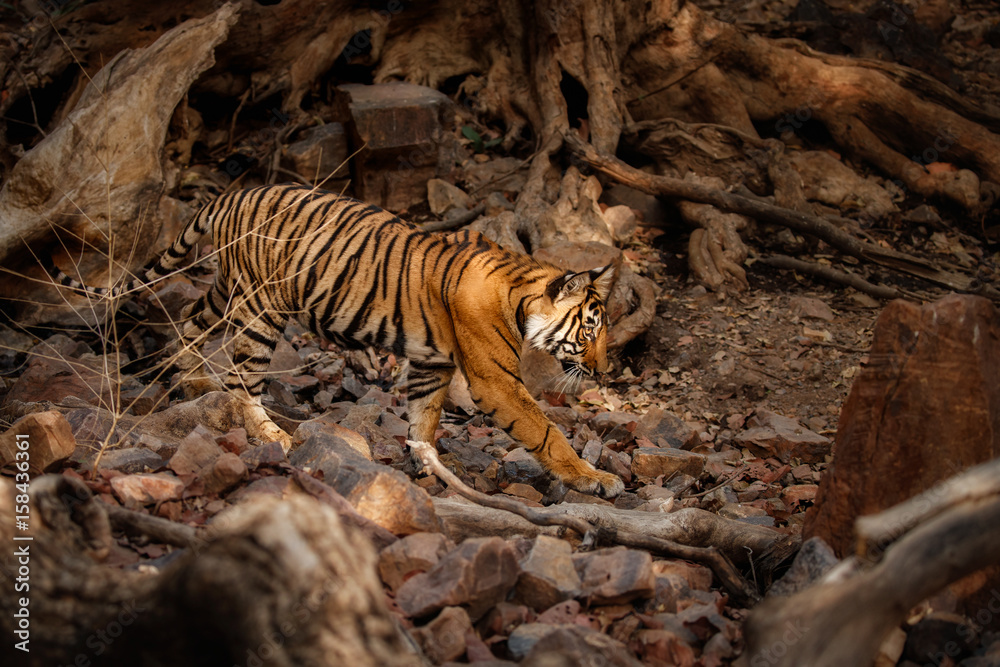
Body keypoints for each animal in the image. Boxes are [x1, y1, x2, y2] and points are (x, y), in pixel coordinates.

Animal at [52, 184, 625, 497]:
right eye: (590, 330)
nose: (604, 373)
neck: (520, 293)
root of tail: (231, 193)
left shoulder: (430, 365)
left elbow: (424, 419)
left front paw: (427, 465)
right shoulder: (494, 379)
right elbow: (545, 431)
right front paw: (594, 478)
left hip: (223, 292)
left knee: (190, 324)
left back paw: (181, 381)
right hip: (260, 308)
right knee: (242, 377)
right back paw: (273, 436)